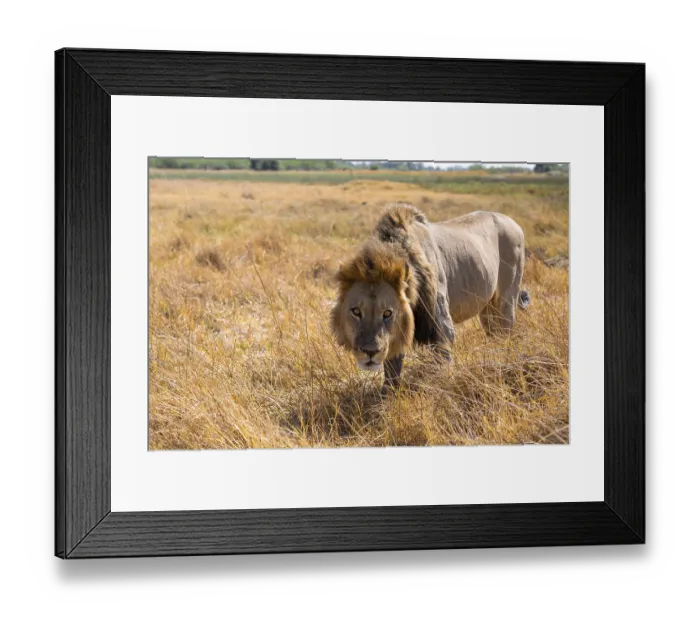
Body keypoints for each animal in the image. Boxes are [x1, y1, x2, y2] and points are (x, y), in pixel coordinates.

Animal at [331, 204, 530, 392]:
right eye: (356, 312)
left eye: (387, 313)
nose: (370, 352)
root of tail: (513, 222)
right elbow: (392, 368)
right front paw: (386, 396)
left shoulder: (442, 325)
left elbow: (443, 363)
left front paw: (443, 385)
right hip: (487, 308)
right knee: (493, 332)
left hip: (506, 299)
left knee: (505, 331)